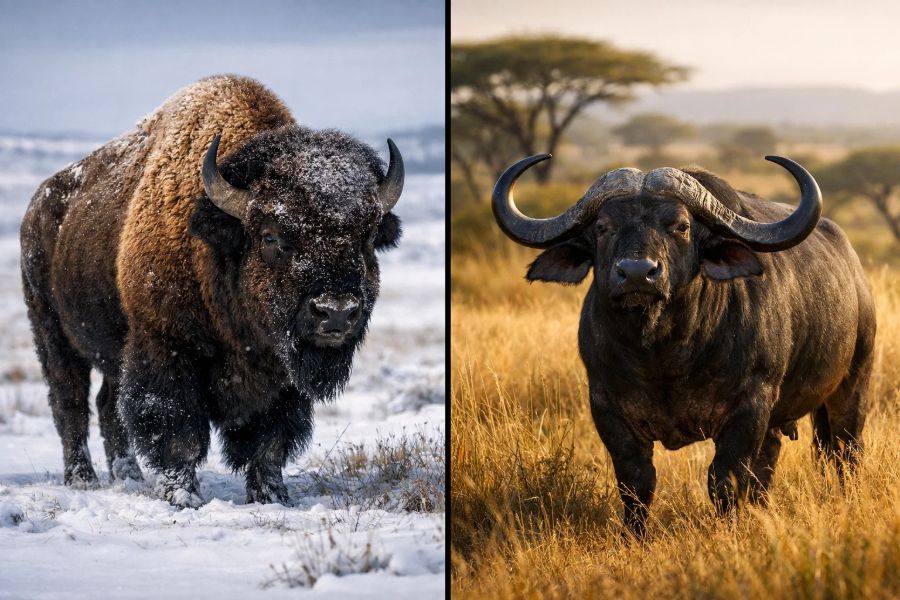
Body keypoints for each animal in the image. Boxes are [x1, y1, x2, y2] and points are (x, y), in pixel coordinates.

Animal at [20, 75, 404, 507]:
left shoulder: (281, 378)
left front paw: (272, 496)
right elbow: (179, 436)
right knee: (69, 404)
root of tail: (37, 206)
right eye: (271, 236)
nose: (335, 311)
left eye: (367, 236)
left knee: (107, 406)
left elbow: (270, 442)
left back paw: (129, 478)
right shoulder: (165, 350)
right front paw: (183, 497)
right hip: (52, 334)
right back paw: (82, 479)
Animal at [493, 154, 875, 536]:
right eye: (602, 227)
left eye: (680, 226)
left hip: (852, 386)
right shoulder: (607, 408)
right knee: (770, 460)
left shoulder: (749, 407)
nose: (636, 273)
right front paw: (634, 536)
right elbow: (636, 482)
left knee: (844, 450)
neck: (663, 355)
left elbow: (724, 480)